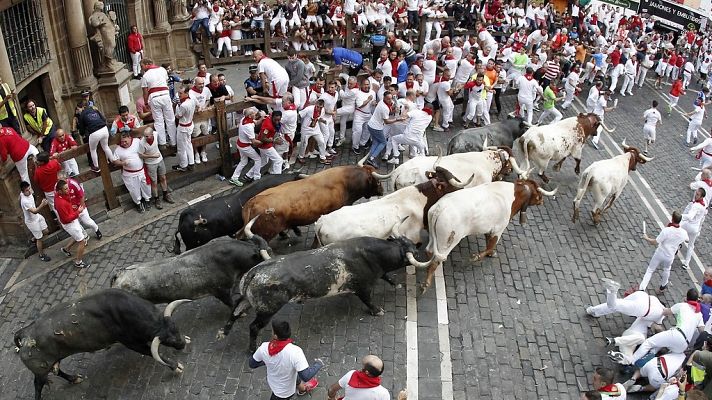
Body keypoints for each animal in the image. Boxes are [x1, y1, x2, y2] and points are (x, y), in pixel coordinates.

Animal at [14, 290, 192, 400]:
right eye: (169, 341)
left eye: (176, 328)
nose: (182, 344)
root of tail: (24, 334)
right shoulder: (131, 342)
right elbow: (152, 352)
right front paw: (176, 366)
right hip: (40, 371)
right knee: (38, 385)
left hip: (53, 361)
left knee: (57, 372)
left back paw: (74, 378)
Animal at [414, 180, 560, 290]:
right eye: (538, 193)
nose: (542, 201)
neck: (513, 196)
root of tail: (440, 208)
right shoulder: (498, 230)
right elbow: (490, 246)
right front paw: (477, 256)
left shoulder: (488, 229)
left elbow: (488, 243)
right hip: (447, 241)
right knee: (437, 258)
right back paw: (426, 284)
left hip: (435, 237)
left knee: (430, 251)